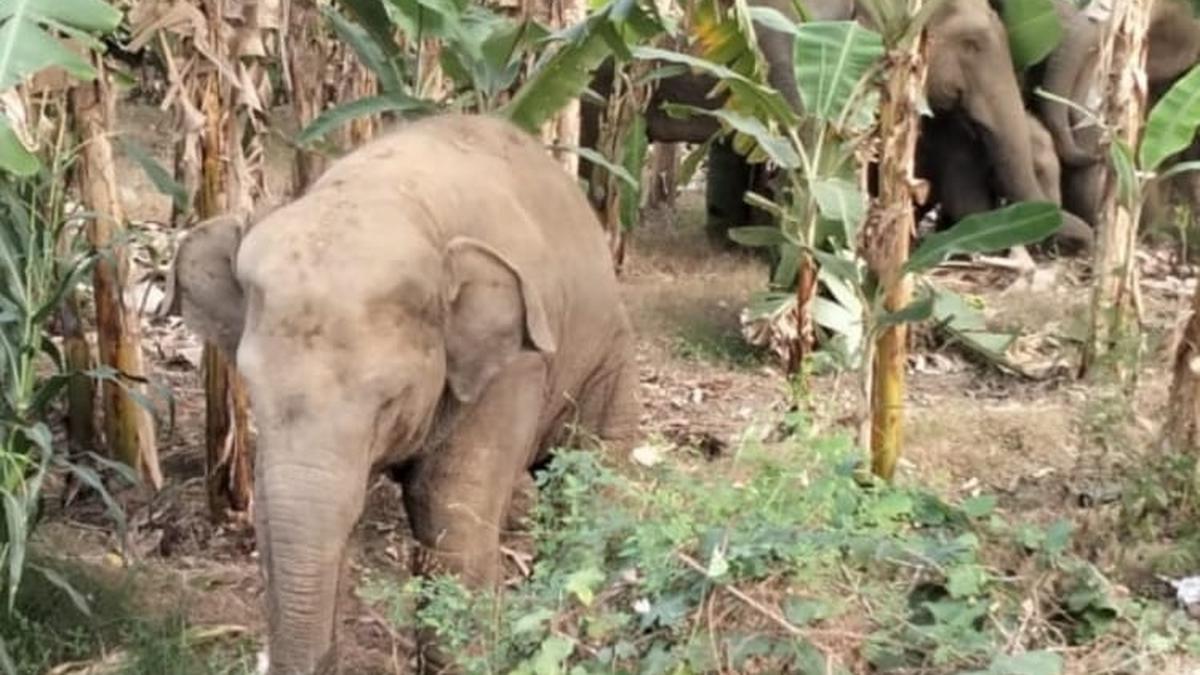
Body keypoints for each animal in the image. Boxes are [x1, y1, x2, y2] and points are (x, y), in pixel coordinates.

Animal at [165, 114, 641, 674]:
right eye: (253, 392)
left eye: (388, 402)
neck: (388, 198)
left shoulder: (513, 368)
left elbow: (451, 520)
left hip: (608, 360)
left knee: (590, 488)